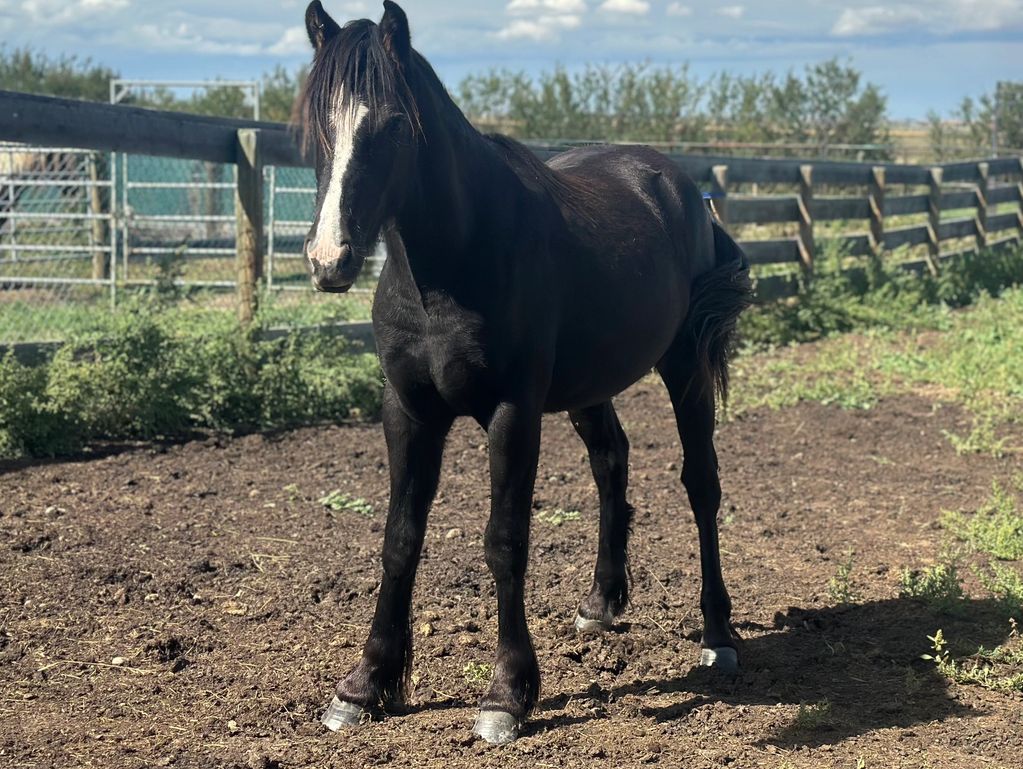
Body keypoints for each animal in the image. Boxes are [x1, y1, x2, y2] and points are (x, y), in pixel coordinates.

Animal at [296, 0, 753, 744]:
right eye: (315, 125)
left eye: (391, 124)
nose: (328, 259)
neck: (449, 269)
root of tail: (677, 185)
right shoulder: (408, 410)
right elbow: (399, 539)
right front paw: (365, 684)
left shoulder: (512, 413)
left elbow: (505, 541)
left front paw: (506, 694)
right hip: (590, 387)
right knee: (611, 462)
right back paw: (601, 603)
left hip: (683, 366)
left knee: (701, 485)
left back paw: (718, 634)